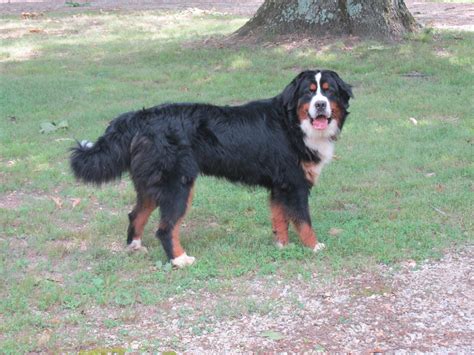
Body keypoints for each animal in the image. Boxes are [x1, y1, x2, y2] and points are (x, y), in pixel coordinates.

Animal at [69, 70, 352, 268]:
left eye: (329, 92)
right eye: (309, 93)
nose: (320, 105)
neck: (292, 123)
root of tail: (141, 116)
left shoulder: (279, 185)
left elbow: (280, 218)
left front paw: (281, 246)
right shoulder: (294, 184)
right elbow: (303, 220)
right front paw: (314, 247)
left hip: (151, 184)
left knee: (136, 215)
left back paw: (135, 247)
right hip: (178, 185)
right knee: (165, 228)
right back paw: (180, 260)